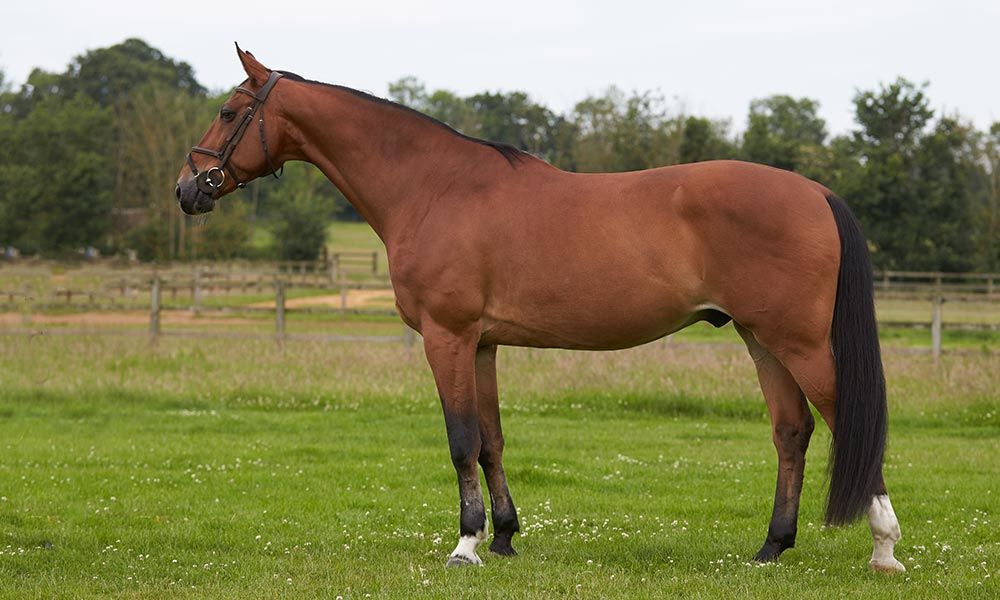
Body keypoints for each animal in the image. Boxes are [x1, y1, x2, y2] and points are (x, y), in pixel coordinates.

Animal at [178, 47, 908, 572]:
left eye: (227, 111)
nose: (189, 188)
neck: (434, 187)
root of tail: (814, 191)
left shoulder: (446, 338)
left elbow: (460, 440)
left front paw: (465, 546)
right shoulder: (481, 343)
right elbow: (492, 440)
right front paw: (502, 538)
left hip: (800, 342)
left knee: (848, 425)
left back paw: (883, 549)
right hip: (762, 339)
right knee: (792, 432)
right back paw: (770, 548)